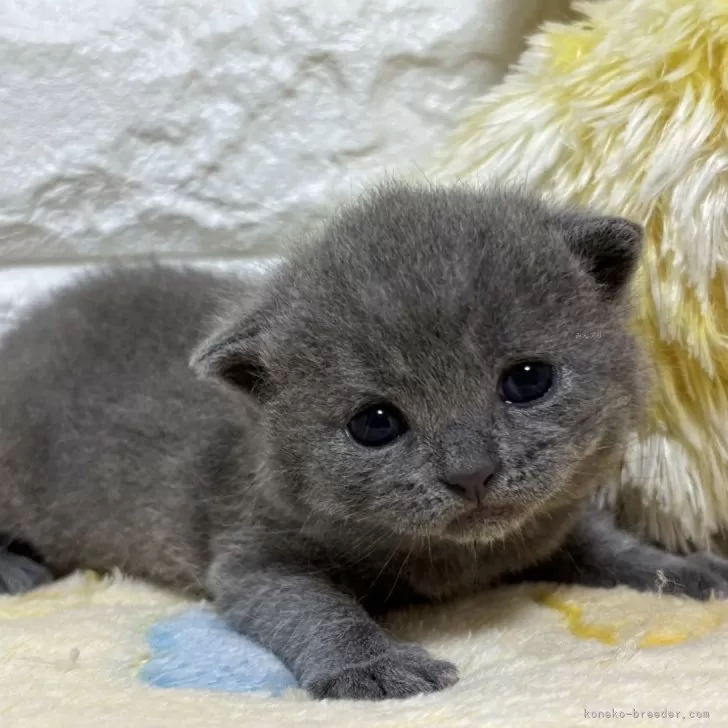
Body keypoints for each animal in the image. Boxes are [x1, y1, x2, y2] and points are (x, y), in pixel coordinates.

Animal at [1, 182, 728, 700]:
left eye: (528, 380)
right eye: (375, 423)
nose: (471, 472)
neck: (457, 556)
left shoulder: (548, 520)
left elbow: (610, 543)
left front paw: (688, 567)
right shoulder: (255, 558)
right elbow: (316, 609)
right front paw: (372, 665)